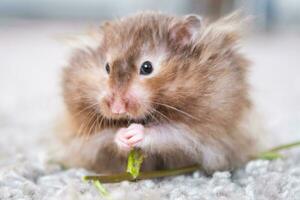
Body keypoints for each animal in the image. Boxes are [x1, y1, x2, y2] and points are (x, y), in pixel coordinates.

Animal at [60, 11, 262, 173]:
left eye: (147, 67)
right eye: (107, 67)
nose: (117, 109)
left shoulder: (203, 127)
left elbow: (168, 132)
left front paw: (135, 132)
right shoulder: (85, 133)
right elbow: (106, 135)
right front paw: (124, 135)